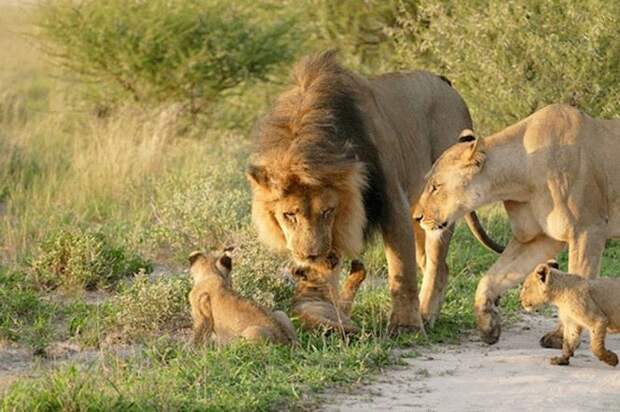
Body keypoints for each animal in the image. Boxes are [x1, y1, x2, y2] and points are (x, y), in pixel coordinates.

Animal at [246, 50, 498, 332]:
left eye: (328, 211)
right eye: (289, 215)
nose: (311, 255)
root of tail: (446, 83)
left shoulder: (392, 201)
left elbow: (401, 269)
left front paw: (405, 327)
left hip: (441, 205)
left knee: (434, 263)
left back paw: (423, 316)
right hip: (421, 211)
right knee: (439, 265)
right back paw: (429, 315)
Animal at [414, 103, 620, 344]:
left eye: (436, 187)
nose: (416, 217)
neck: (520, 178)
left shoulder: (588, 230)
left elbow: (576, 286)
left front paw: (562, 338)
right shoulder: (539, 238)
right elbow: (491, 278)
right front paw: (488, 325)